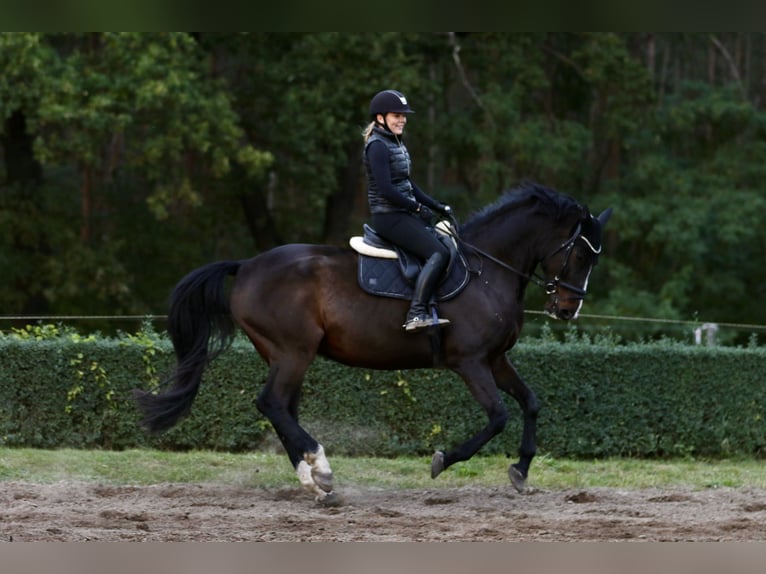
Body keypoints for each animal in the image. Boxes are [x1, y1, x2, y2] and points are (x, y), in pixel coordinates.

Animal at [133, 182, 612, 503]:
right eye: (580, 253)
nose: (567, 310)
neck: (488, 271)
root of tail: (247, 264)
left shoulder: (496, 359)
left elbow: (530, 403)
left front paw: (521, 470)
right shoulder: (471, 362)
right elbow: (497, 417)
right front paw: (443, 460)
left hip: (285, 356)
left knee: (281, 408)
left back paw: (312, 480)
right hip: (293, 352)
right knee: (271, 404)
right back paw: (321, 470)